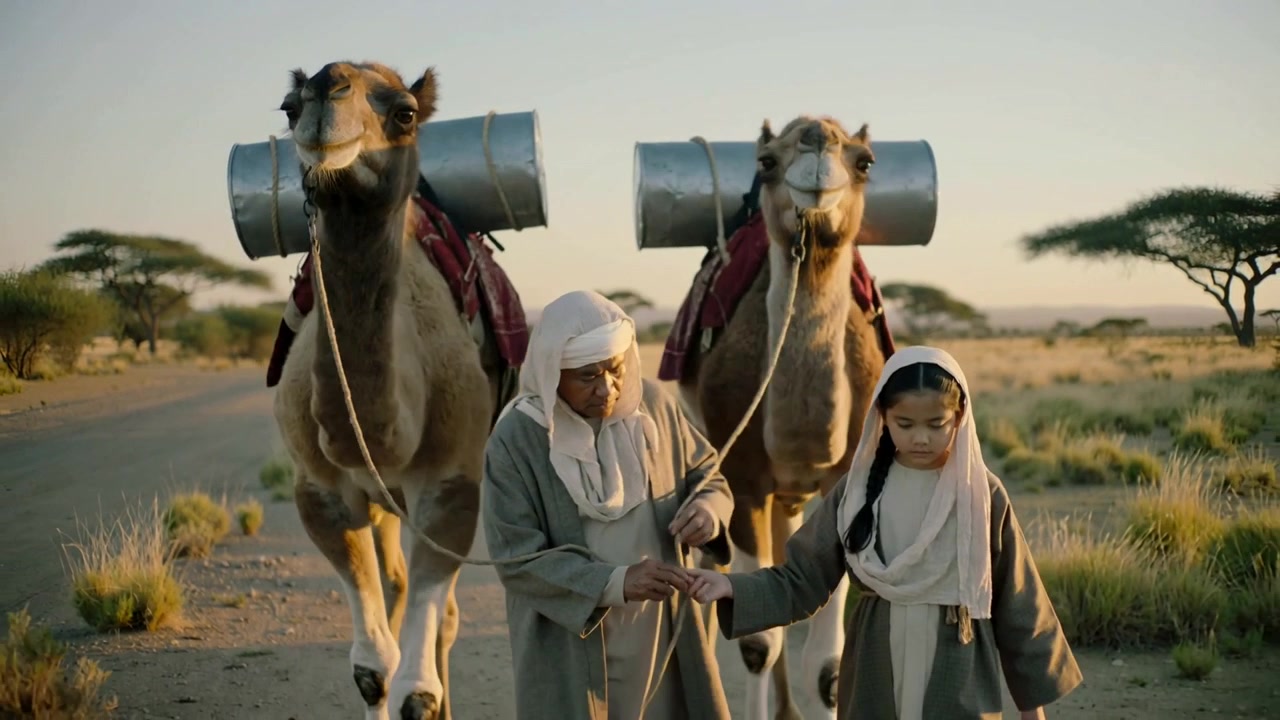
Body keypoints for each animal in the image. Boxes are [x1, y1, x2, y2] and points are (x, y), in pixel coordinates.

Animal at [271, 61, 497, 720]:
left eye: (404, 113)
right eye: (290, 108)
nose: (327, 90)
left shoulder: (451, 483)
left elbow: (417, 689)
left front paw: (431, 699)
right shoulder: (319, 489)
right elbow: (373, 671)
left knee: (444, 618)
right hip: (382, 498)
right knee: (395, 587)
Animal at [678, 116, 887, 720]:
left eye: (865, 161)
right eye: (765, 161)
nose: (817, 138)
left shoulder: (844, 481)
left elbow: (827, 667)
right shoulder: (745, 481)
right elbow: (755, 644)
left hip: (790, 494)